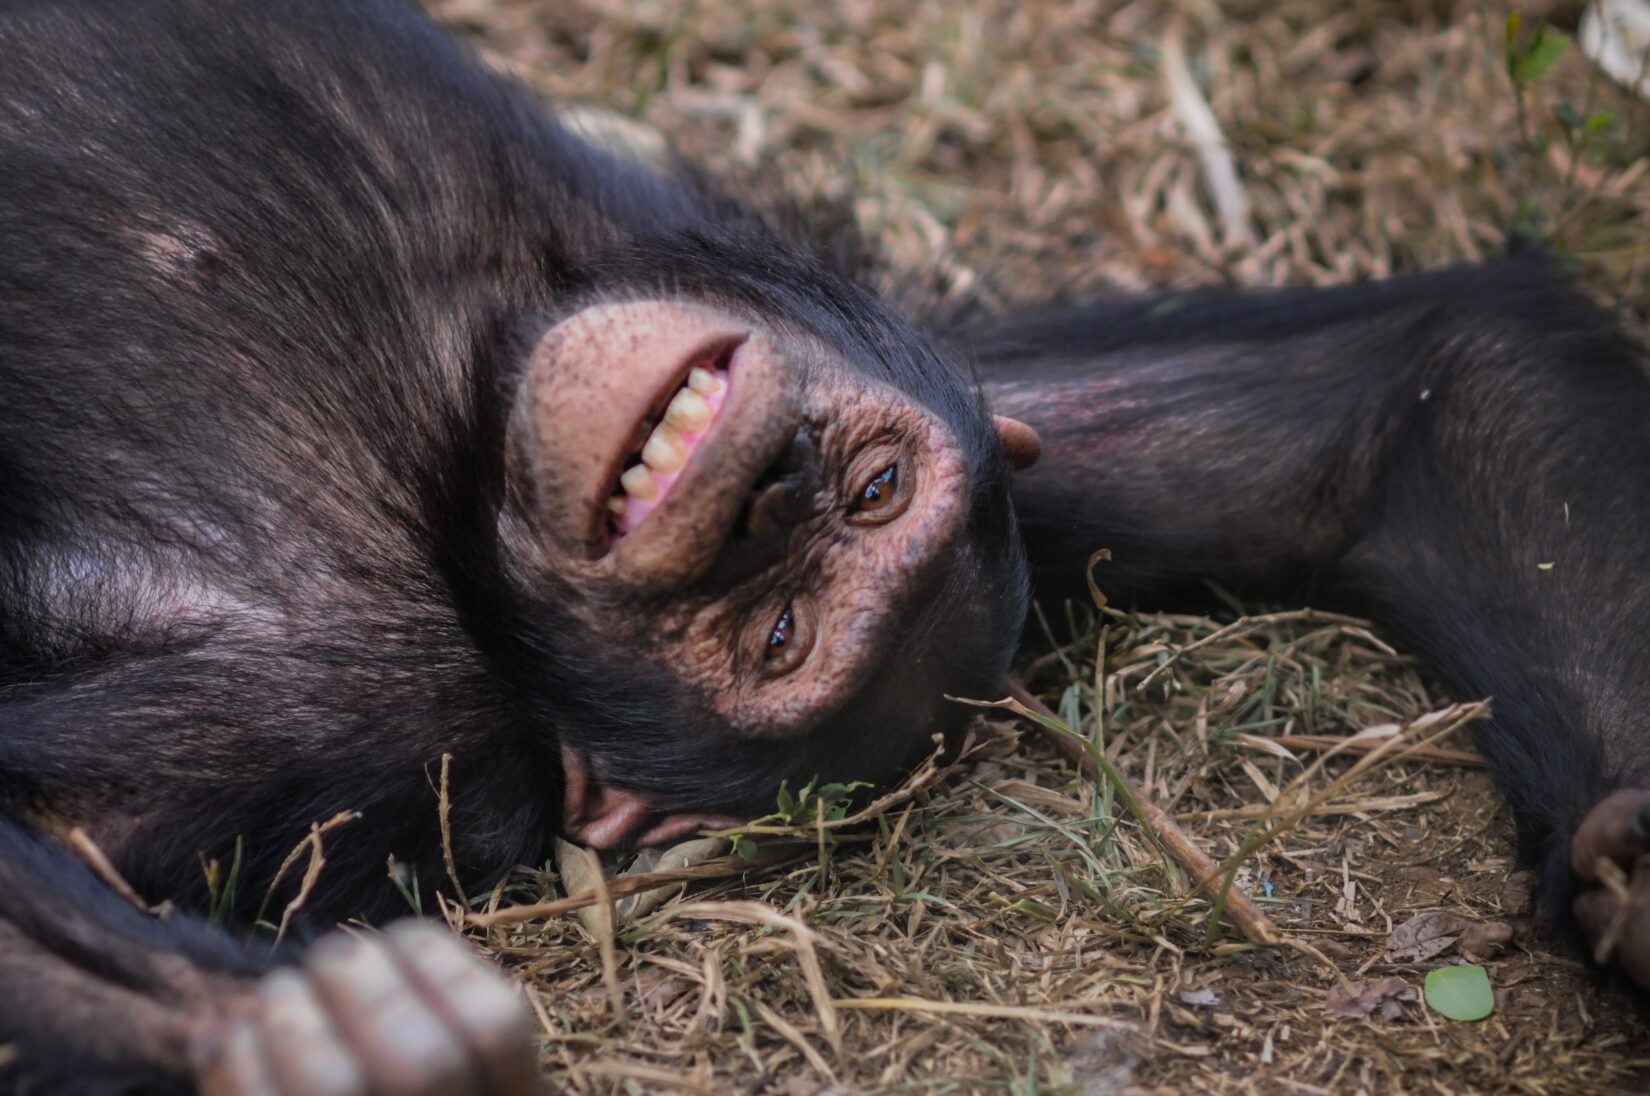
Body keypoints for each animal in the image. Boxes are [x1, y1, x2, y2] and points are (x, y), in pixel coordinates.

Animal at [0, 0, 1643, 1089]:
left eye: (773, 635)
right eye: (870, 489)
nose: (769, 491)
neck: (460, 429)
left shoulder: (351, 719)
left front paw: (297, 1036)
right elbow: (1383, 408)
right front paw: (1644, 855)